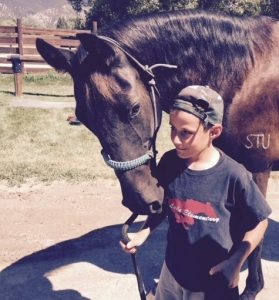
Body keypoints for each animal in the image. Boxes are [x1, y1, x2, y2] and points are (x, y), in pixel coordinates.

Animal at [35, 9, 279, 300]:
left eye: (134, 108)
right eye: (84, 119)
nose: (140, 201)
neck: (245, 75)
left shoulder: (256, 170)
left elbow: (252, 235)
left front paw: (251, 288)